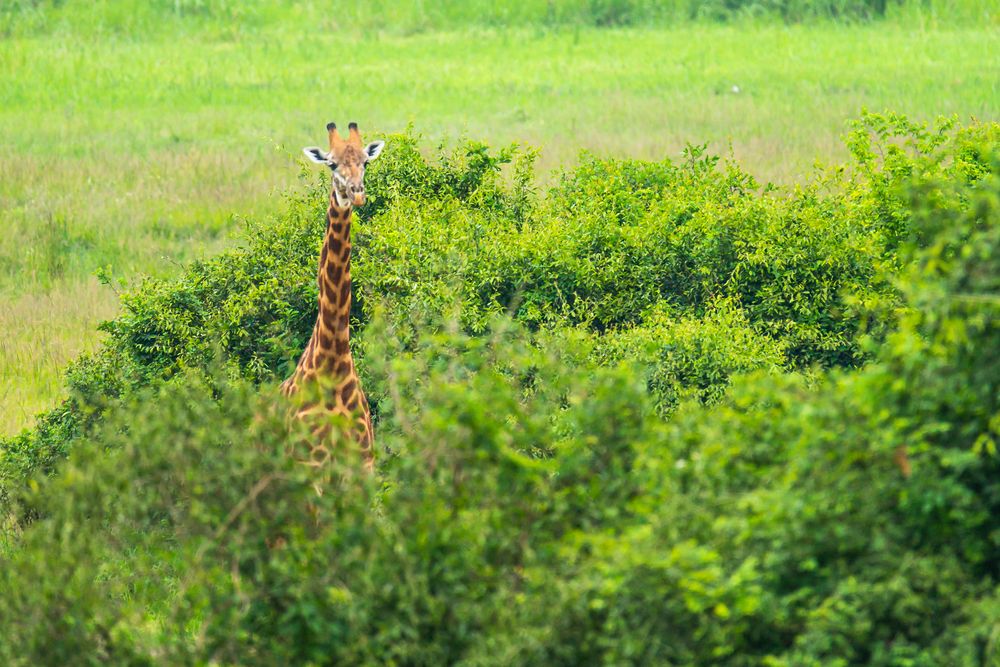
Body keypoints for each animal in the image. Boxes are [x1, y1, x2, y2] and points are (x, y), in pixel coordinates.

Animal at [286, 120, 386, 474]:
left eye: (366, 162)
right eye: (331, 164)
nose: (356, 194)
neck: (333, 364)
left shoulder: (364, 463)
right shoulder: (310, 465)